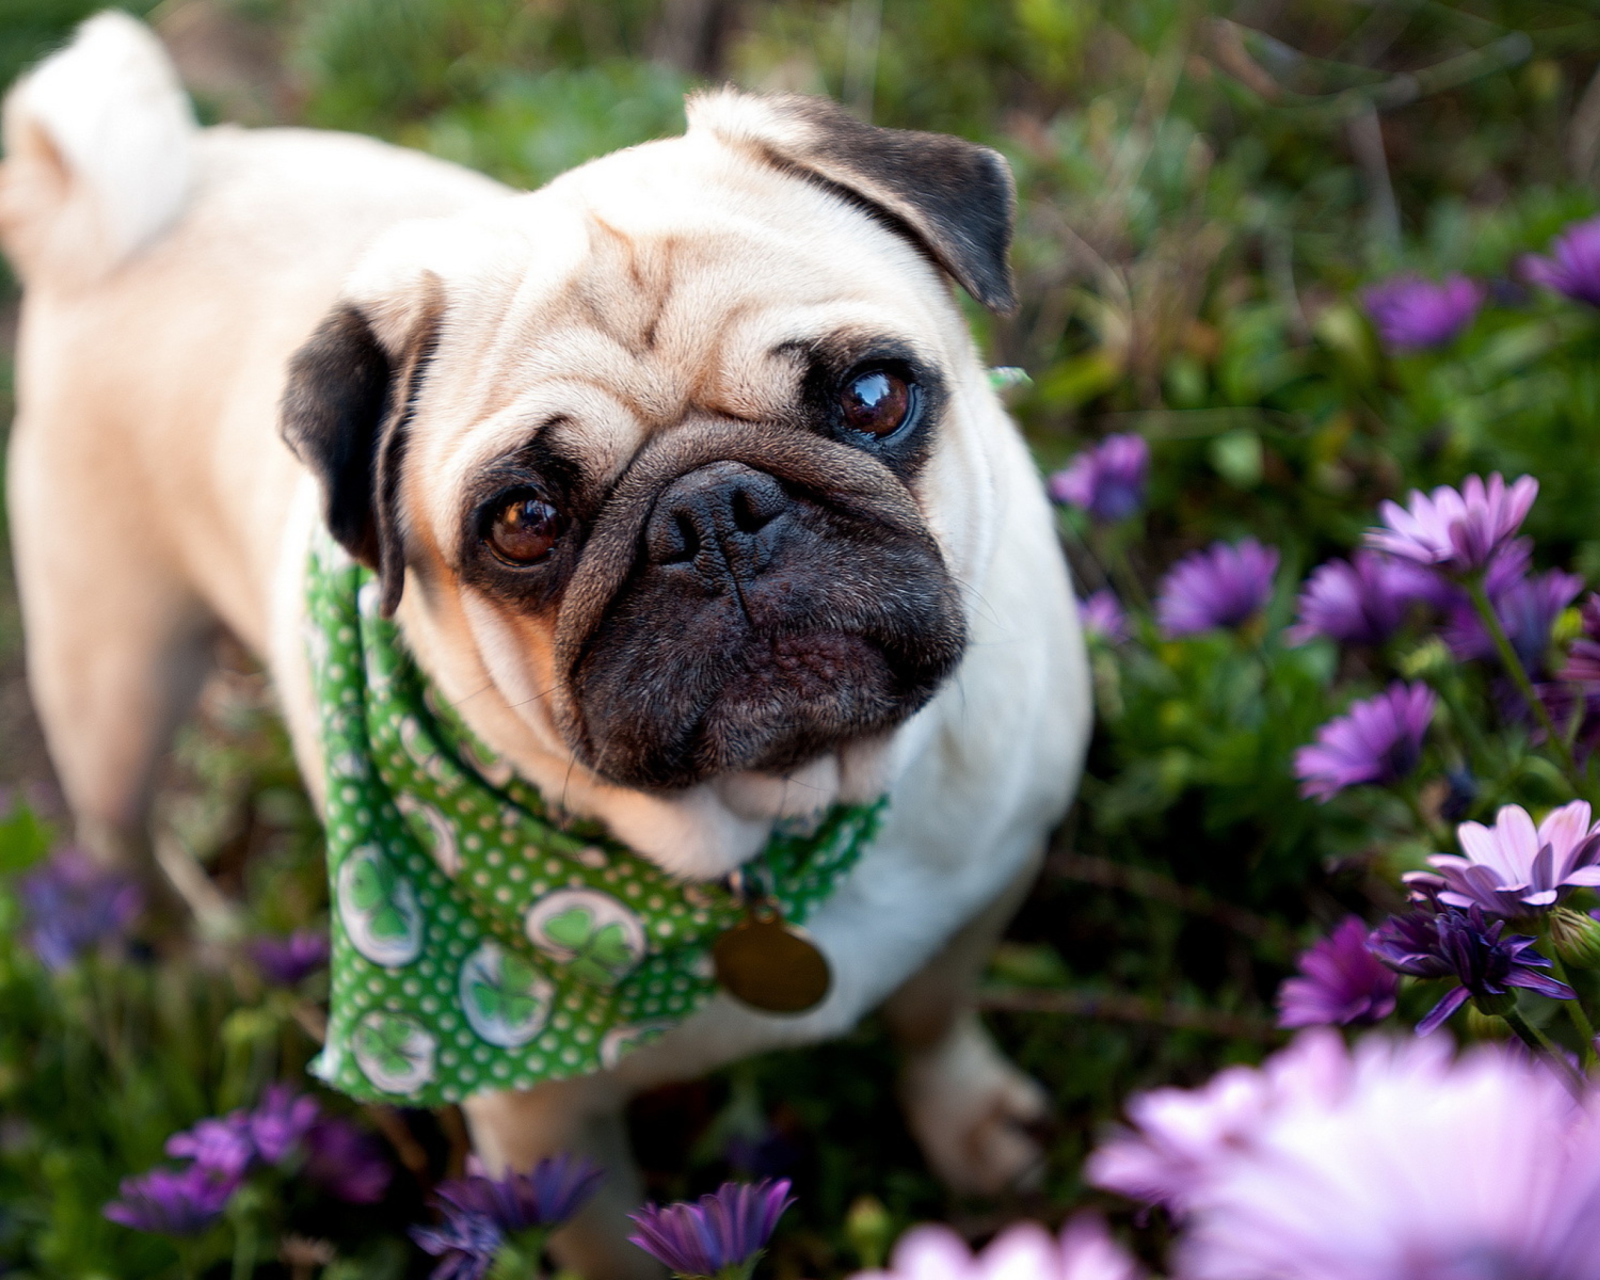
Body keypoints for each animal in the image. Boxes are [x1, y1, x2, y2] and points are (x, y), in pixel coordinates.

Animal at [0, 15, 1088, 1273]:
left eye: (871, 396)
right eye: (524, 518)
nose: (712, 514)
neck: (772, 827)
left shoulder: (986, 879)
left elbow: (932, 1015)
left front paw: (969, 1123)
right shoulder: (543, 1129)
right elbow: (605, 1240)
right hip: (113, 676)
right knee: (116, 834)